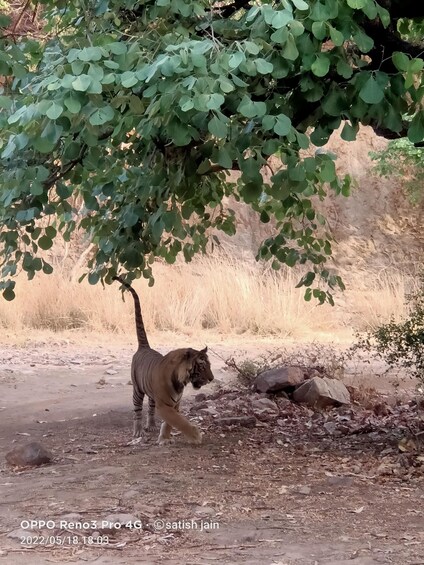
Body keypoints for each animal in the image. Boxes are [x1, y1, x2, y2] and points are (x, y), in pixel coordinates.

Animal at [112, 276, 214, 446]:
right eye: (202, 366)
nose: (212, 379)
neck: (181, 382)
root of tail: (144, 347)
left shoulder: (175, 403)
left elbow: (170, 422)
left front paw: (164, 438)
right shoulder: (164, 404)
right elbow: (179, 421)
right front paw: (195, 435)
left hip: (151, 395)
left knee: (150, 409)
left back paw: (152, 426)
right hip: (137, 390)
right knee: (137, 411)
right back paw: (138, 431)